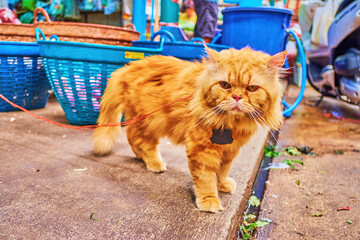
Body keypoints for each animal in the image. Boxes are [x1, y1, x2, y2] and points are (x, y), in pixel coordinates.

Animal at [93, 46, 286, 212]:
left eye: (252, 88)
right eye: (225, 85)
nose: (237, 97)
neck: (232, 123)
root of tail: (128, 67)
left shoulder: (229, 150)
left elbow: (222, 171)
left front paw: (222, 184)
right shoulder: (202, 149)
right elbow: (206, 178)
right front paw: (209, 200)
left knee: (132, 137)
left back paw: (142, 158)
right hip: (151, 122)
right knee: (142, 141)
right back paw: (154, 163)